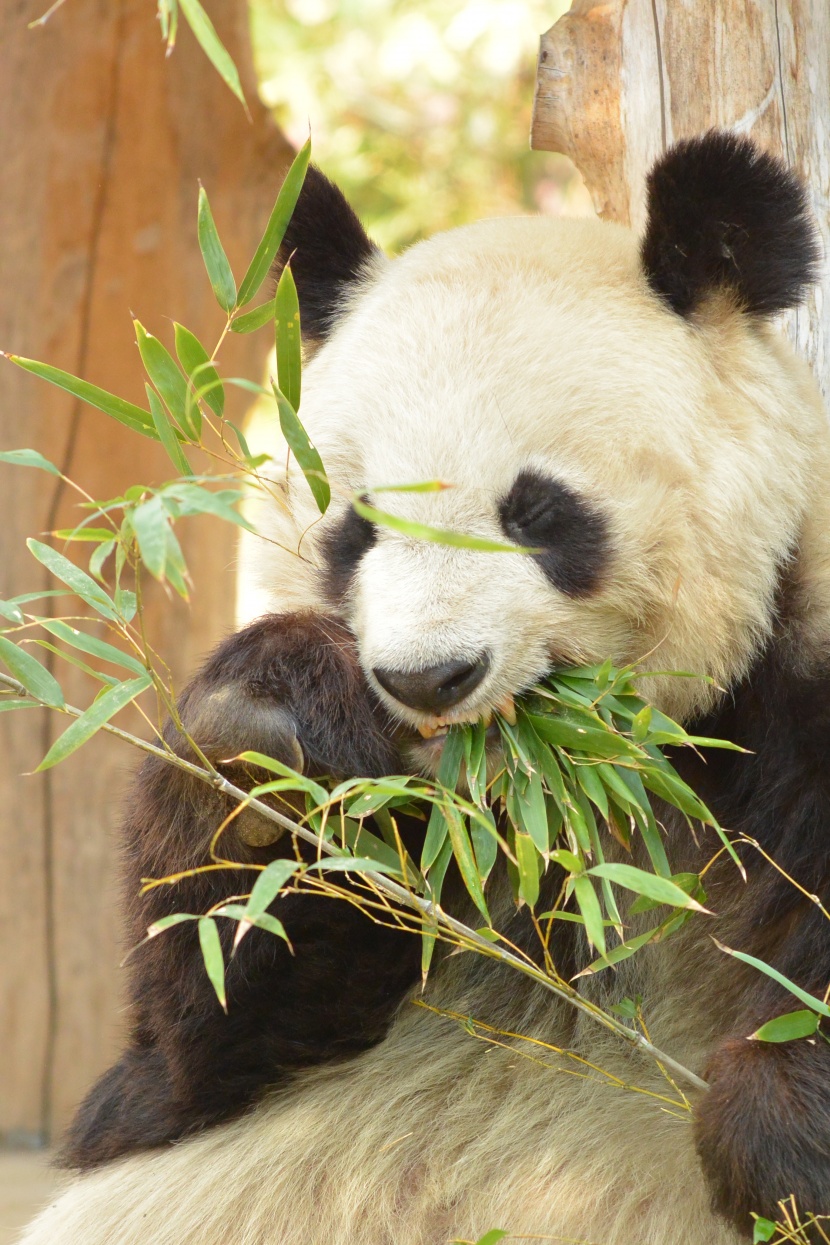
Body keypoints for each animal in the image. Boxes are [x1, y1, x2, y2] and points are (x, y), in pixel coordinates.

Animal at [16, 131, 830, 1240]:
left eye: (536, 512)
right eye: (354, 524)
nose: (429, 677)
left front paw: (776, 1128)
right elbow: (185, 1056)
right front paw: (268, 739)